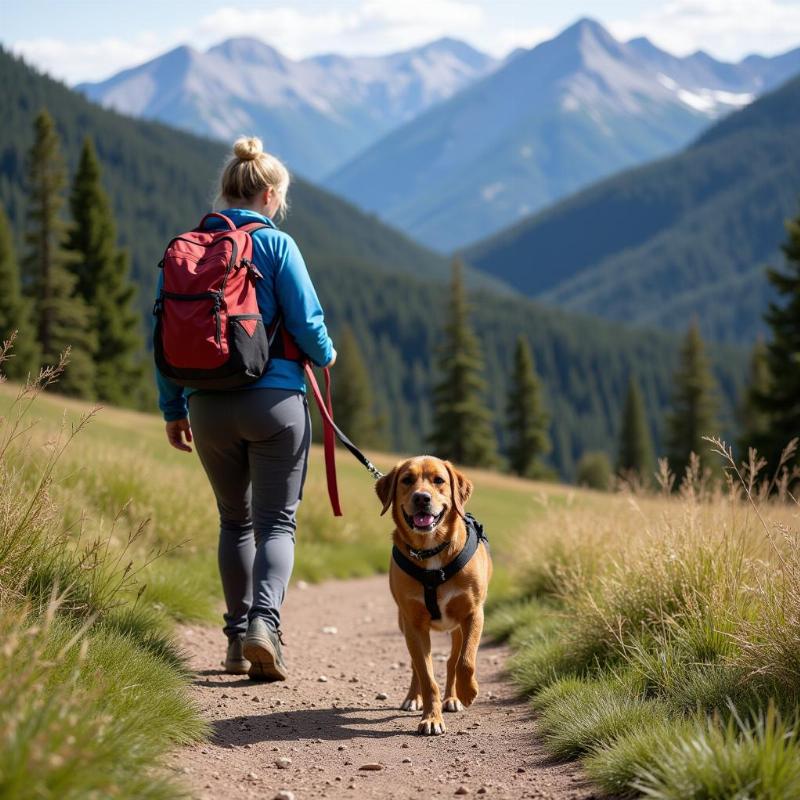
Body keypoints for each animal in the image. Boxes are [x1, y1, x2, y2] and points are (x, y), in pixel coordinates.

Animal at [376, 454, 494, 736]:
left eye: (439, 480)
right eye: (407, 480)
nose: (422, 498)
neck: (431, 552)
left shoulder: (474, 614)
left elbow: (465, 661)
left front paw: (467, 692)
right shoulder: (414, 624)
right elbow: (426, 675)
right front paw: (431, 718)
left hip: (457, 629)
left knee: (452, 661)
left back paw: (453, 697)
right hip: (405, 624)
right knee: (416, 666)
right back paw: (413, 698)